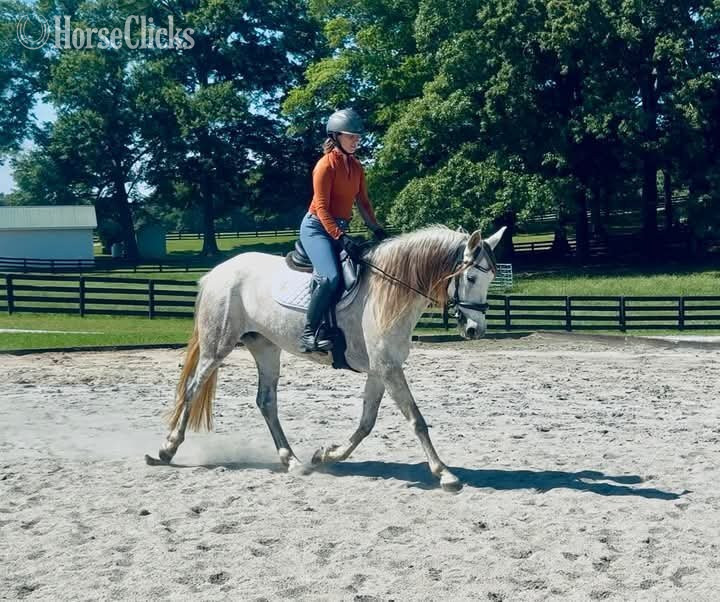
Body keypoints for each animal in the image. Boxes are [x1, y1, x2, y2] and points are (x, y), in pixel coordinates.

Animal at [145, 224, 506, 491]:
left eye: (490, 278)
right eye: (471, 277)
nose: (476, 329)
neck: (389, 289)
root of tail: (216, 273)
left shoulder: (380, 370)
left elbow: (366, 424)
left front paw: (326, 455)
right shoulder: (388, 368)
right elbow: (416, 419)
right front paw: (445, 473)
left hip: (265, 348)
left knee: (266, 402)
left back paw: (292, 461)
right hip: (217, 347)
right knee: (192, 390)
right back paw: (166, 450)